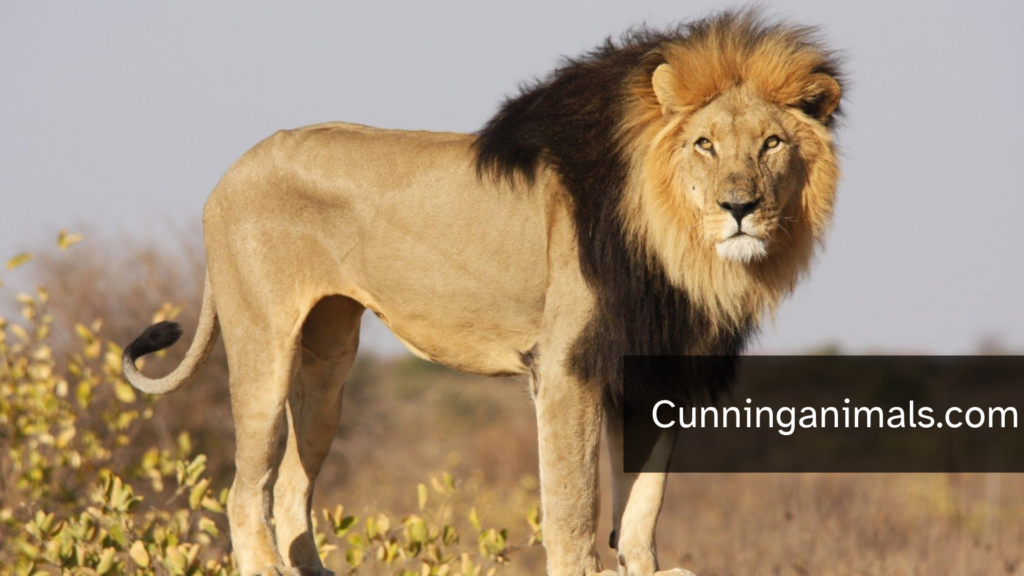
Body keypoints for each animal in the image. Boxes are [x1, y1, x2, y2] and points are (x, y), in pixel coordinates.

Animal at [123, 11, 843, 576]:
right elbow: (572, 510)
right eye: (704, 144)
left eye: (771, 144)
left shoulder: (660, 373)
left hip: (326, 364)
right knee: (246, 491)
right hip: (264, 346)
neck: (684, 253)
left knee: (291, 485)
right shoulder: (566, 366)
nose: (739, 207)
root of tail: (229, 173)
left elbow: (641, 509)